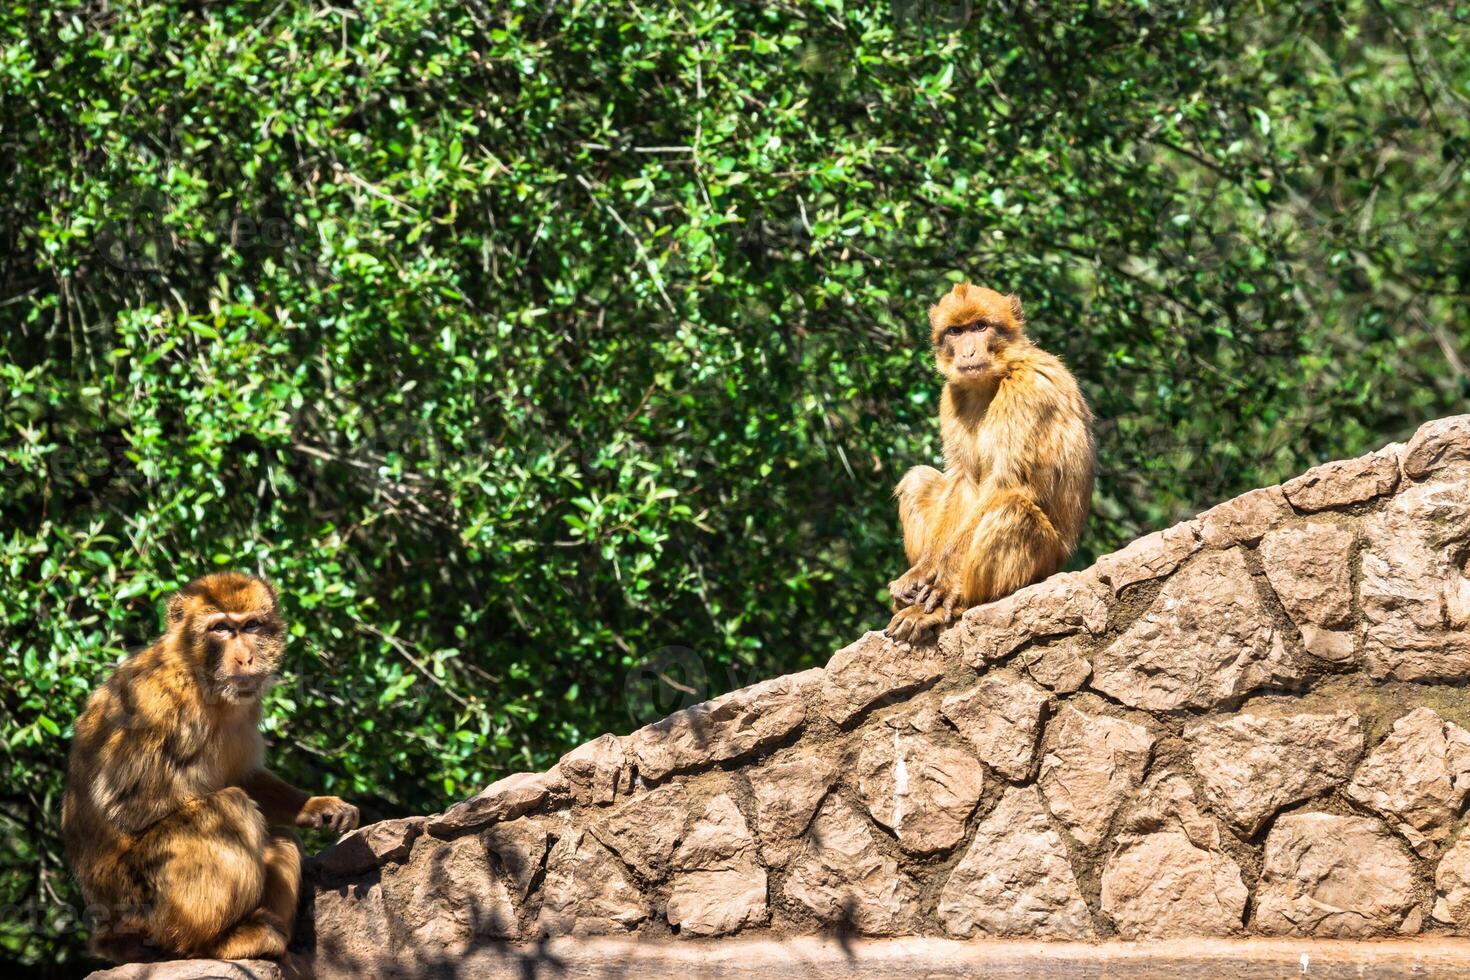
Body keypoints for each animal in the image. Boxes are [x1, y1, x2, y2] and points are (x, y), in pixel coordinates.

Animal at [62, 570, 361, 963]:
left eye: (251, 626)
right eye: (220, 629)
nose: (245, 658)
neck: (199, 676)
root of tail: (107, 928)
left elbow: (244, 777)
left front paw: (316, 807)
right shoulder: (157, 703)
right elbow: (131, 807)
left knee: (278, 837)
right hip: (142, 902)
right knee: (229, 807)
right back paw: (210, 944)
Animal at [882, 282, 1093, 643]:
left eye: (980, 327)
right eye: (956, 331)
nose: (968, 352)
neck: (993, 379)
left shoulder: (1027, 390)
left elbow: (1005, 484)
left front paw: (943, 583)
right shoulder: (952, 395)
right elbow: (963, 479)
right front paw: (921, 574)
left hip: (1043, 564)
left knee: (1011, 508)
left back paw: (956, 603)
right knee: (918, 479)